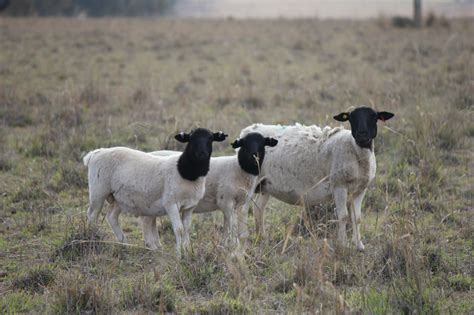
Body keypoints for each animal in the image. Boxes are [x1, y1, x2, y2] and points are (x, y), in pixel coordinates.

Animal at [83, 128, 228, 256]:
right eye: (190, 139)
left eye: (210, 138)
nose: (201, 154)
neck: (186, 172)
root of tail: (95, 153)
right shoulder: (171, 204)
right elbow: (179, 229)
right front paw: (180, 253)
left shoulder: (189, 207)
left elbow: (186, 229)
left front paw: (187, 251)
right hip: (98, 191)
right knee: (92, 215)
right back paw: (91, 238)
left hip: (118, 198)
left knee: (111, 216)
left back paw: (124, 243)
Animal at [141, 131, 280, 249]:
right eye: (244, 145)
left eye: (262, 144)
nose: (254, 156)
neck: (239, 168)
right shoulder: (226, 200)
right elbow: (232, 225)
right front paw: (234, 246)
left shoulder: (237, 203)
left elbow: (228, 225)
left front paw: (226, 245)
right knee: (146, 221)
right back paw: (153, 246)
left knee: (151, 220)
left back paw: (157, 245)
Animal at [239, 107, 394, 251]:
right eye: (351, 118)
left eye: (374, 117)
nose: (362, 135)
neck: (357, 154)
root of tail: (248, 131)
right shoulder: (339, 186)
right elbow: (343, 216)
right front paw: (342, 245)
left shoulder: (361, 189)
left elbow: (357, 218)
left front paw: (359, 246)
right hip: (250, 181)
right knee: (243, 210)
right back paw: (243, 239)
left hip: (265, 184)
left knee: (258, 208)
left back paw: (261, 238)